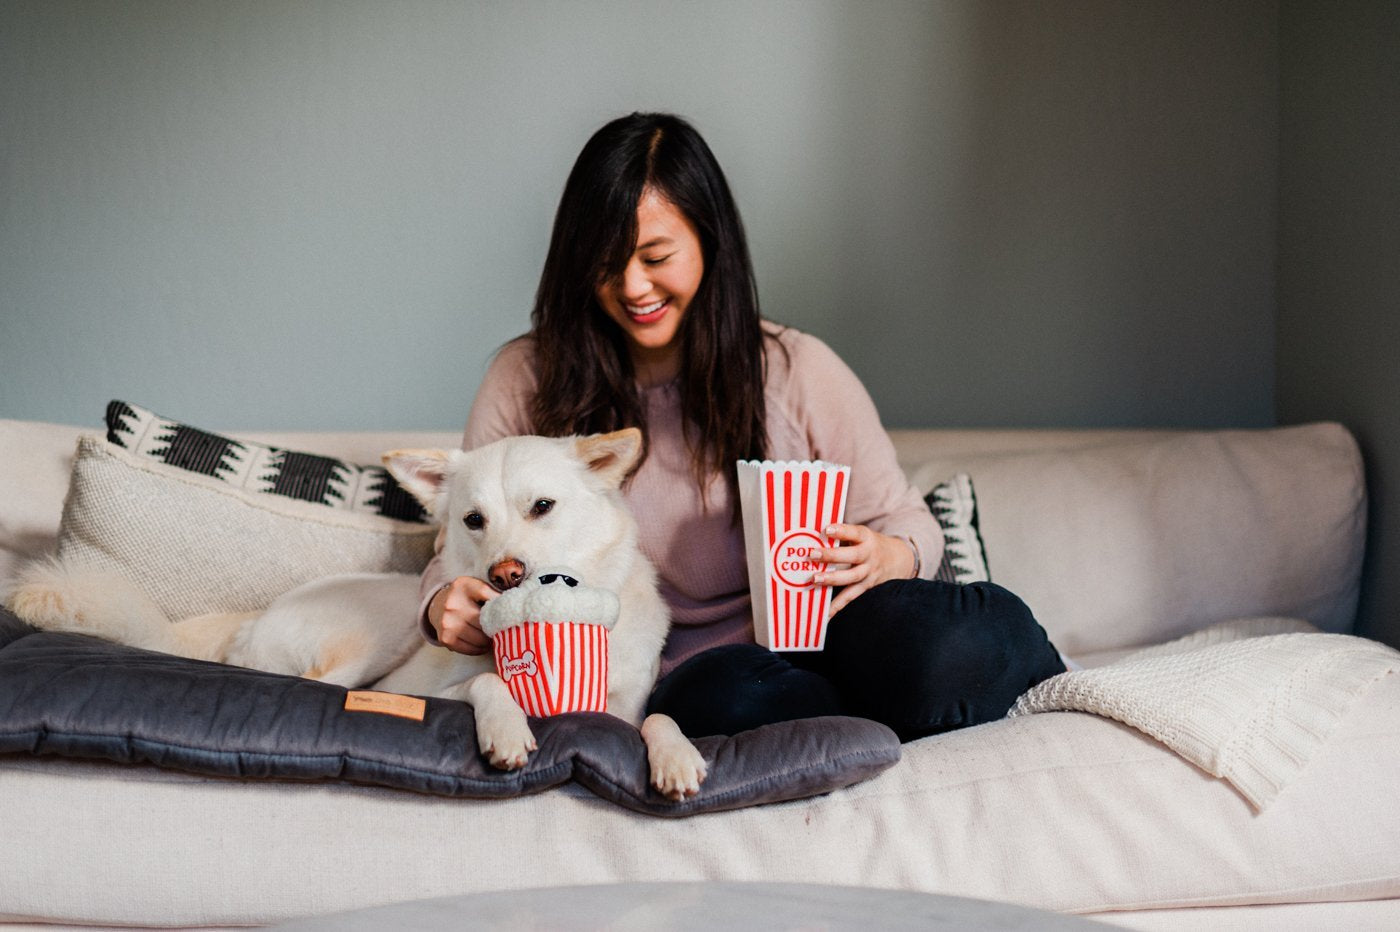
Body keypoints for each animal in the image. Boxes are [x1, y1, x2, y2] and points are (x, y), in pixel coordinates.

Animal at [8, 428, 711, 800]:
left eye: (543, 506)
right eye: (473, 520)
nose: (504, 576)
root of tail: (253, 619)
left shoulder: (622, 712)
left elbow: (660, 718)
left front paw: (677, 758)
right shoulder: (444, 690)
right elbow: (486, 681)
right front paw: (507, 731)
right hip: (383, 632)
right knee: (311, 685)